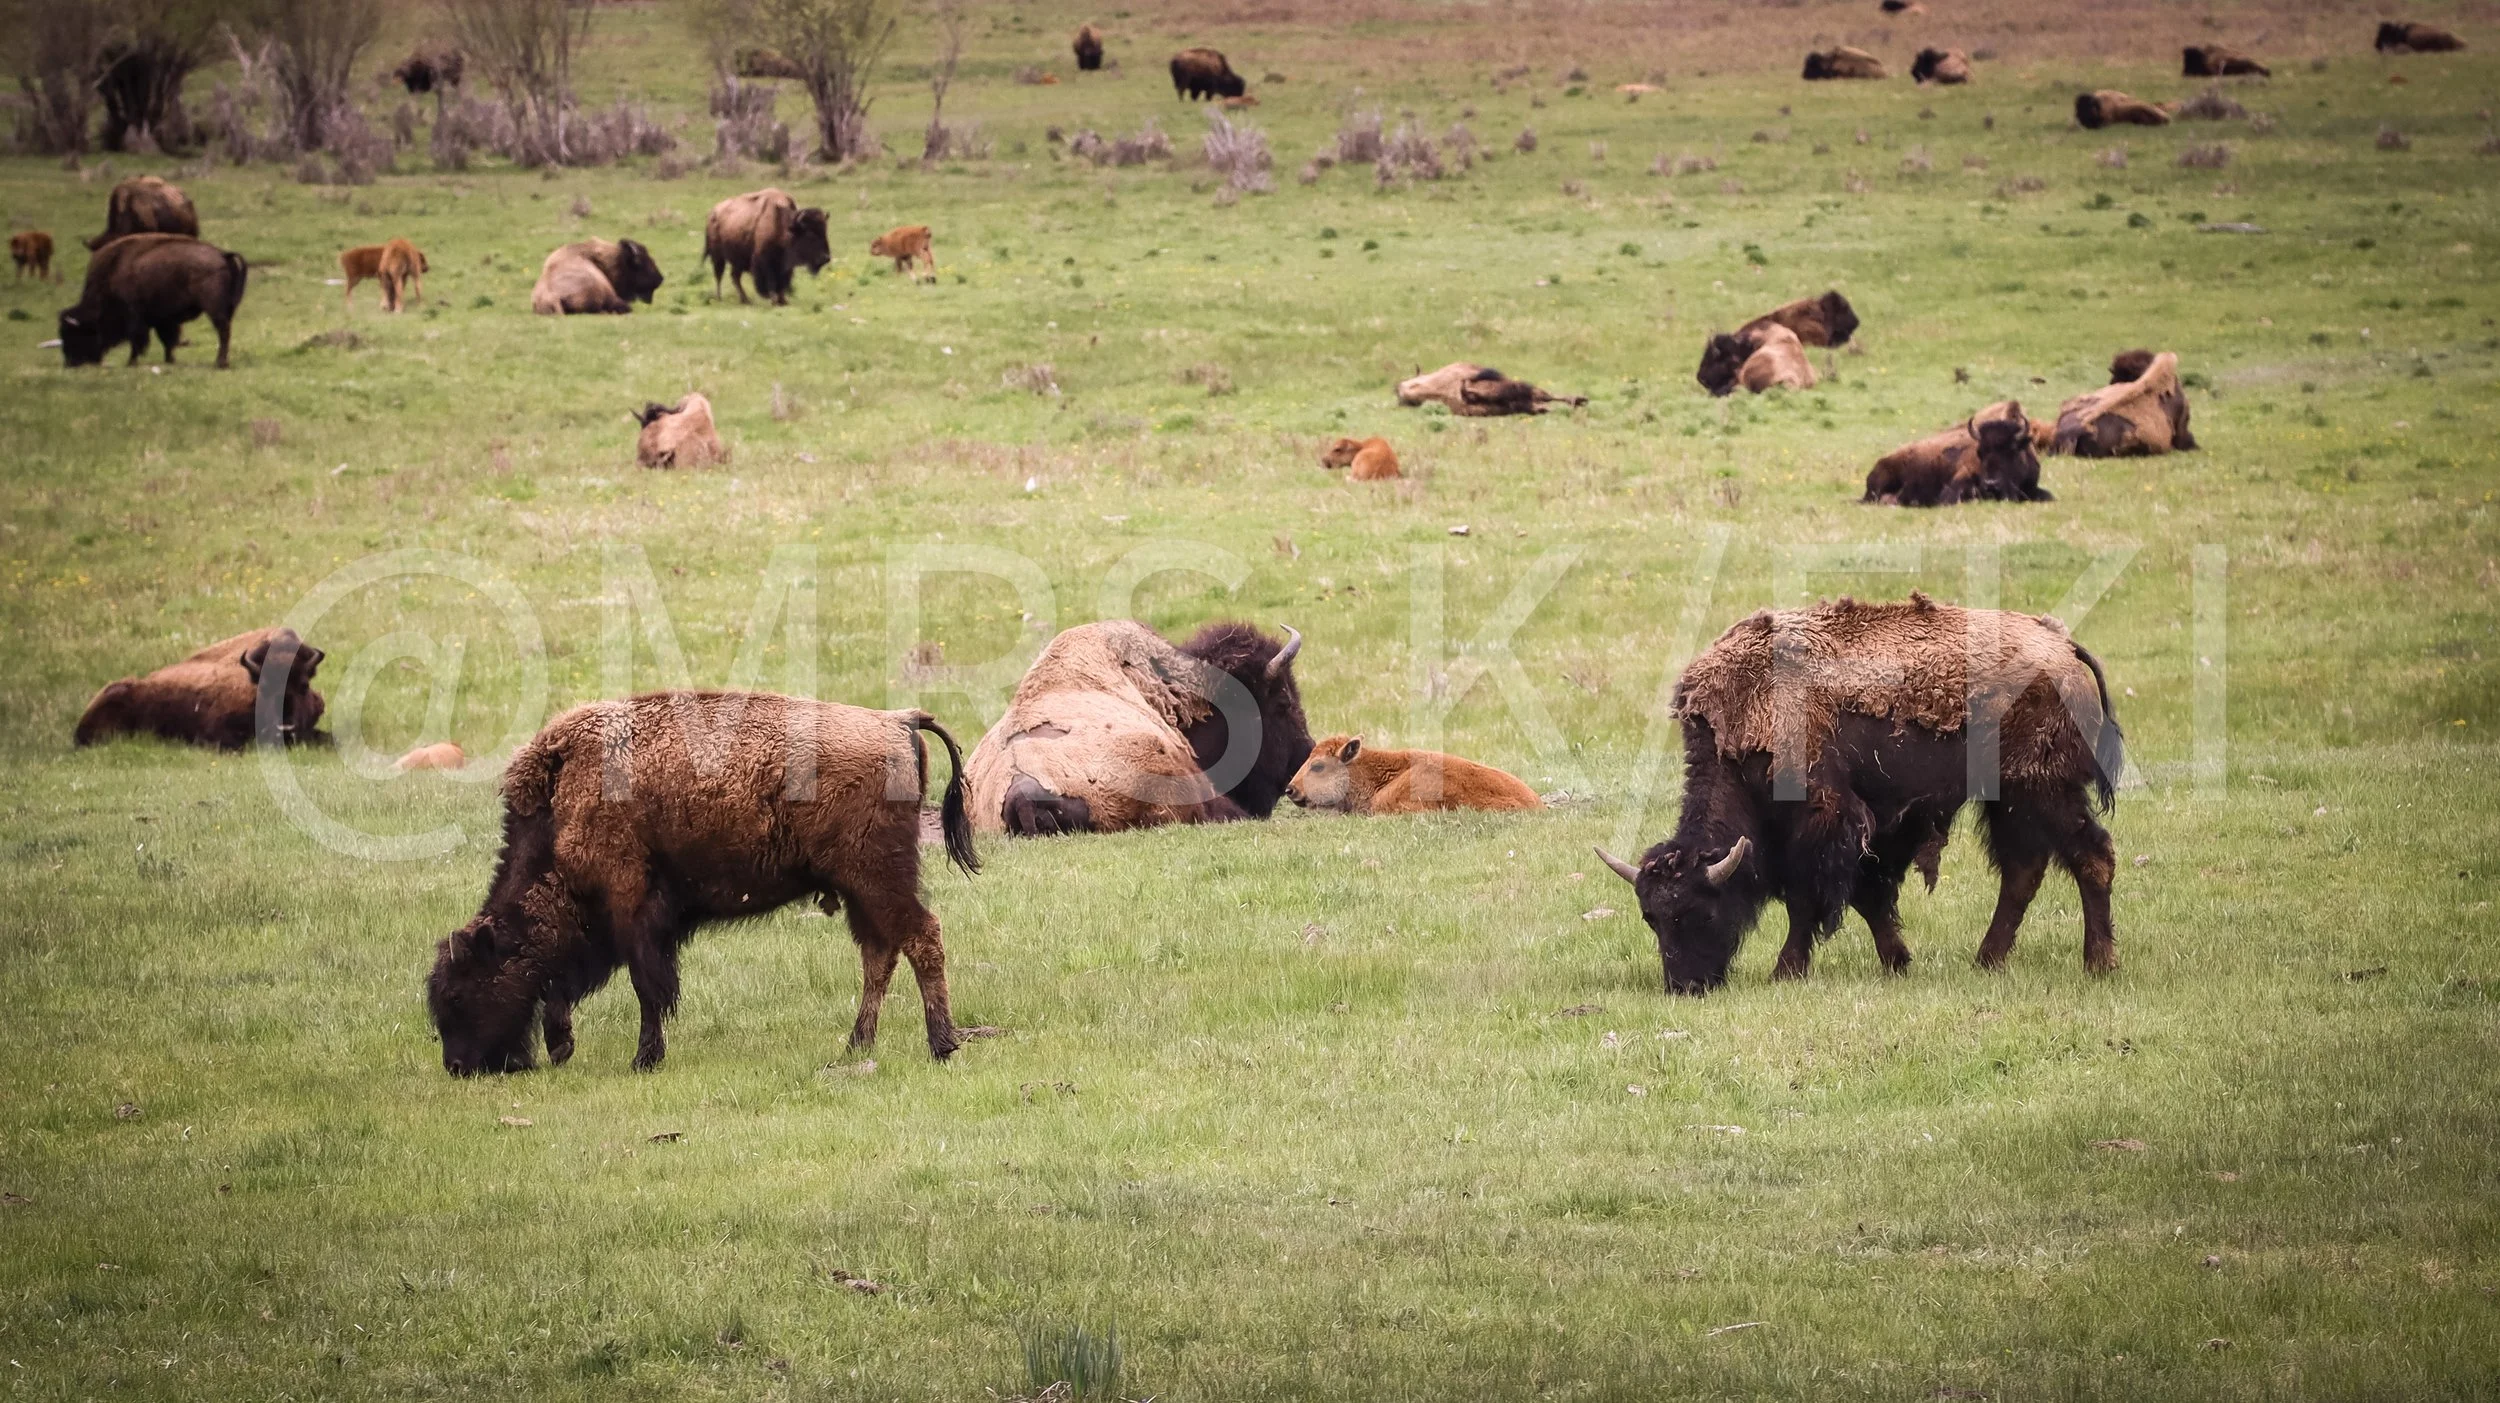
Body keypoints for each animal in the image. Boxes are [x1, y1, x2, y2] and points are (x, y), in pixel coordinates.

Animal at [58, 233, 247, 370]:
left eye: (74, 333)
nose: (69, 363)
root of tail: (223, 254)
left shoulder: (135, 316)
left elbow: (137, 340)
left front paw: (131, 362)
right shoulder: (163, 319)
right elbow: (167, 340)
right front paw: (170, 360)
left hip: (214, 310)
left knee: (223, 332)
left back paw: (220, 363)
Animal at [426, 692, 978, 1075]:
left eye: (457, 994)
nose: (458, 1066)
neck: (560, 809)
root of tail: (897, 721)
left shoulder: (630, 910)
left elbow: (646, 987)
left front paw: (644, 1059)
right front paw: (568, 1047)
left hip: (878, 877)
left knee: (921, 937)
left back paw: (942, 1043)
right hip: (859, 888)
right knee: (879, 955)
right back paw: (857, 1043)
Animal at [1593, 593, 2123, 993]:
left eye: (1700, 911)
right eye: (1651, 917)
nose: (1685, 986)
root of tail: (2064, 646)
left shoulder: (1823, 823)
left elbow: (1808, 899)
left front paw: (1786, 970)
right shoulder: (1868, 831)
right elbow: (1869, 896)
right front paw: (1898, 960)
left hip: (2042, 791)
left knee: (2090, 857)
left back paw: (2098, 963)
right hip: (2009, 803)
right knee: (2023, 872)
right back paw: (1987, 961)